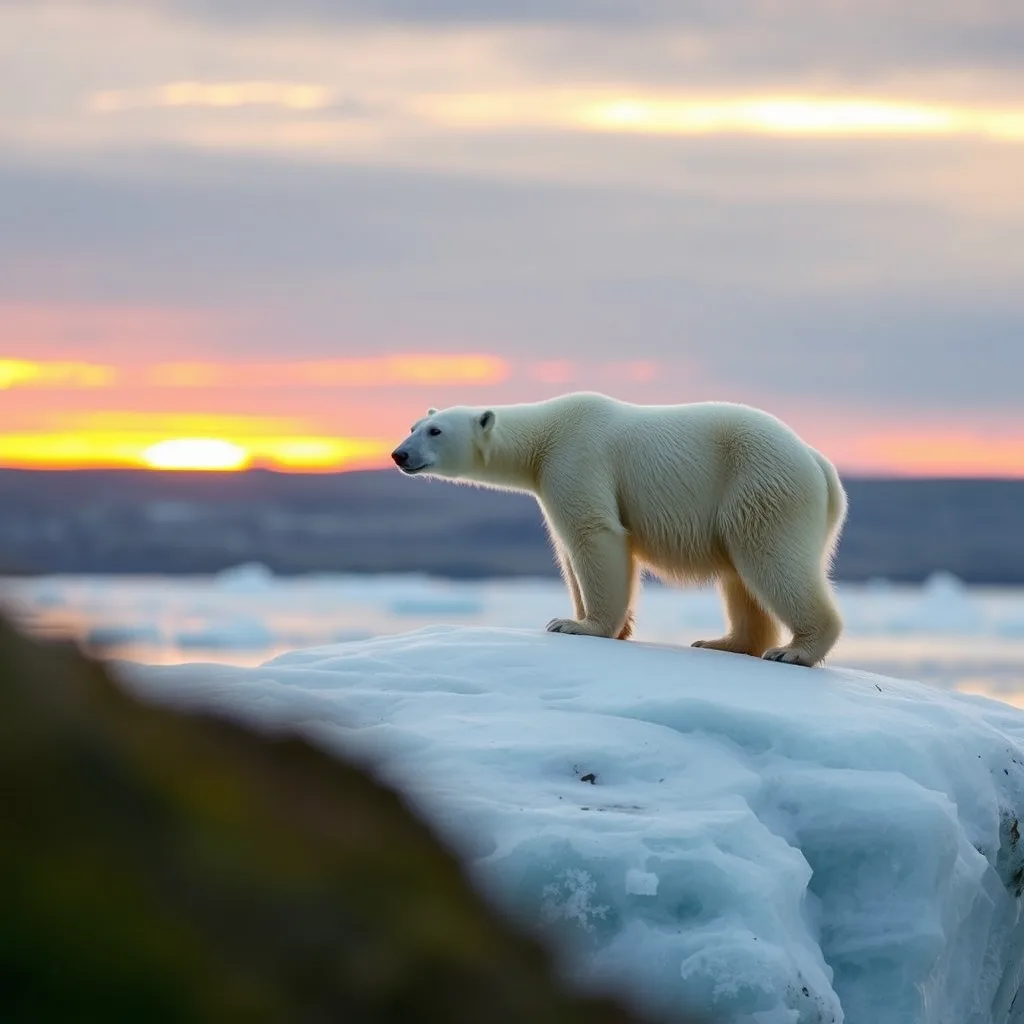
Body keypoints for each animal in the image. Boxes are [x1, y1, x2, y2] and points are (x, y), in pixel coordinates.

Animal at [391, 392, 848, 667]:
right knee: (741, 578)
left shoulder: (576, 458)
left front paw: (577, 626)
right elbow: (567, 551)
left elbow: (594, 534)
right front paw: (596, 622)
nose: (399, 454)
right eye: (412, 426)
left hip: (761, 483)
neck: (545, 434)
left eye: (435, 430)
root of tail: (819, 463)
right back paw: (724, 642)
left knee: (770, 559)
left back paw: (794, 651)